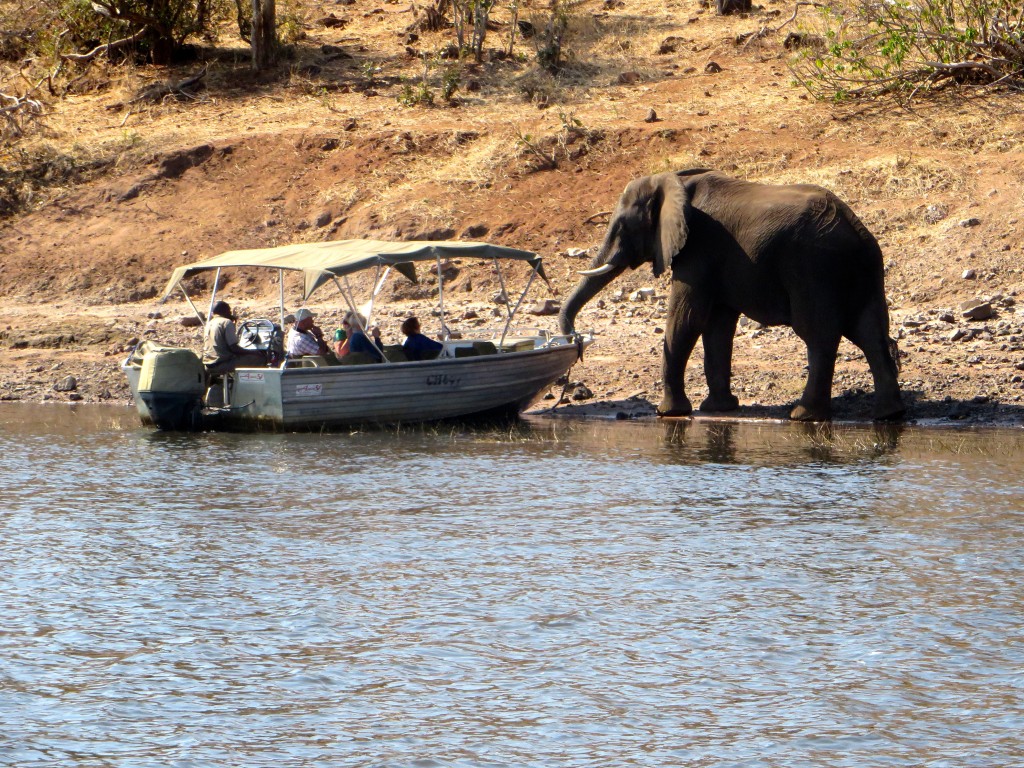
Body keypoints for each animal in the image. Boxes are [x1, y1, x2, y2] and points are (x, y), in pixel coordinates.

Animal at [561, 171, 905, 423]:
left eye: (622, 226)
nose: (575, 340)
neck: (674, 181)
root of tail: (856, 228)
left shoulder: (698, 249)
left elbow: (687, 319)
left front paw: (668, 413)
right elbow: (717, 325)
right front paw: (719, 409)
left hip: (814, 268)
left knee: (819, 336)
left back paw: (802, 416)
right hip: (863, 269)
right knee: (870, 333)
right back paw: (888, 415)